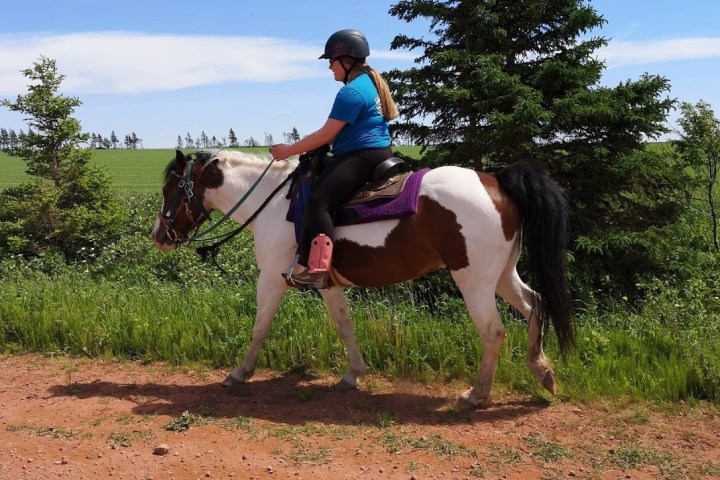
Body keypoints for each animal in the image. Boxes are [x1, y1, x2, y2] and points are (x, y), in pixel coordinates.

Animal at [151, 149, 574, 408]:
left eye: (170, 187)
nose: (159, 236)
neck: (271, 203)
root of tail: (497, 182)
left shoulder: (271, 277)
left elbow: (259, 327)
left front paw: (239, 373)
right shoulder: (327, 284)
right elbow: (344, 326)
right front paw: (354, 374)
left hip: (474, 280)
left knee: (493, 331)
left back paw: (477, 395)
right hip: (503, 274)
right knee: (534, 305)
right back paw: (544, 372)